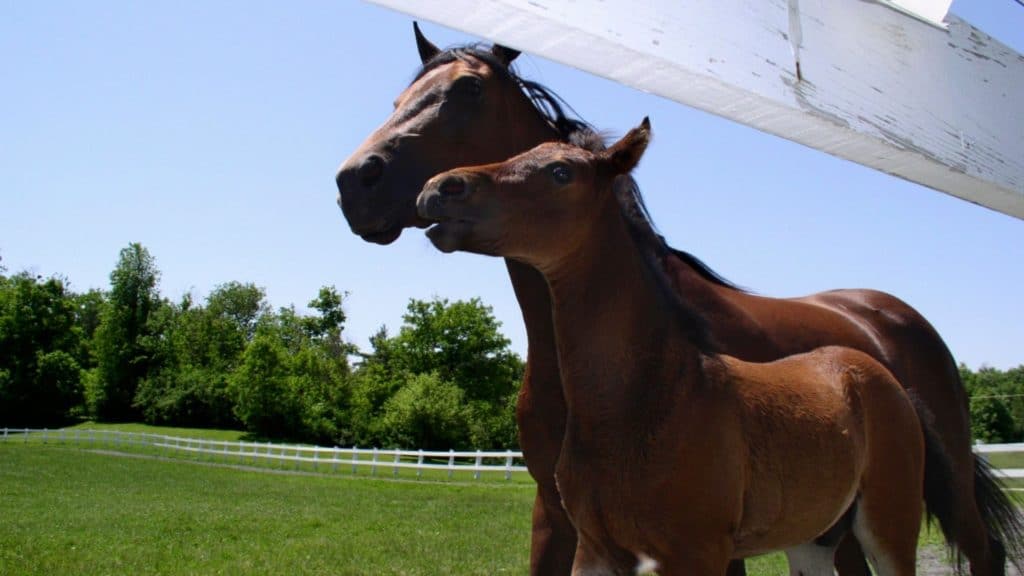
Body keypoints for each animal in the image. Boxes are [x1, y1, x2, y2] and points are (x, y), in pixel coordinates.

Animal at [413, 118, 950, 569]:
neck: (647, 399)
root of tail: (885, 378)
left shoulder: (699, 553)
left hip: (888, 527)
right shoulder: (596, 550)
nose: (439, 188)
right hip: (812, 540)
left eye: (561, 172)